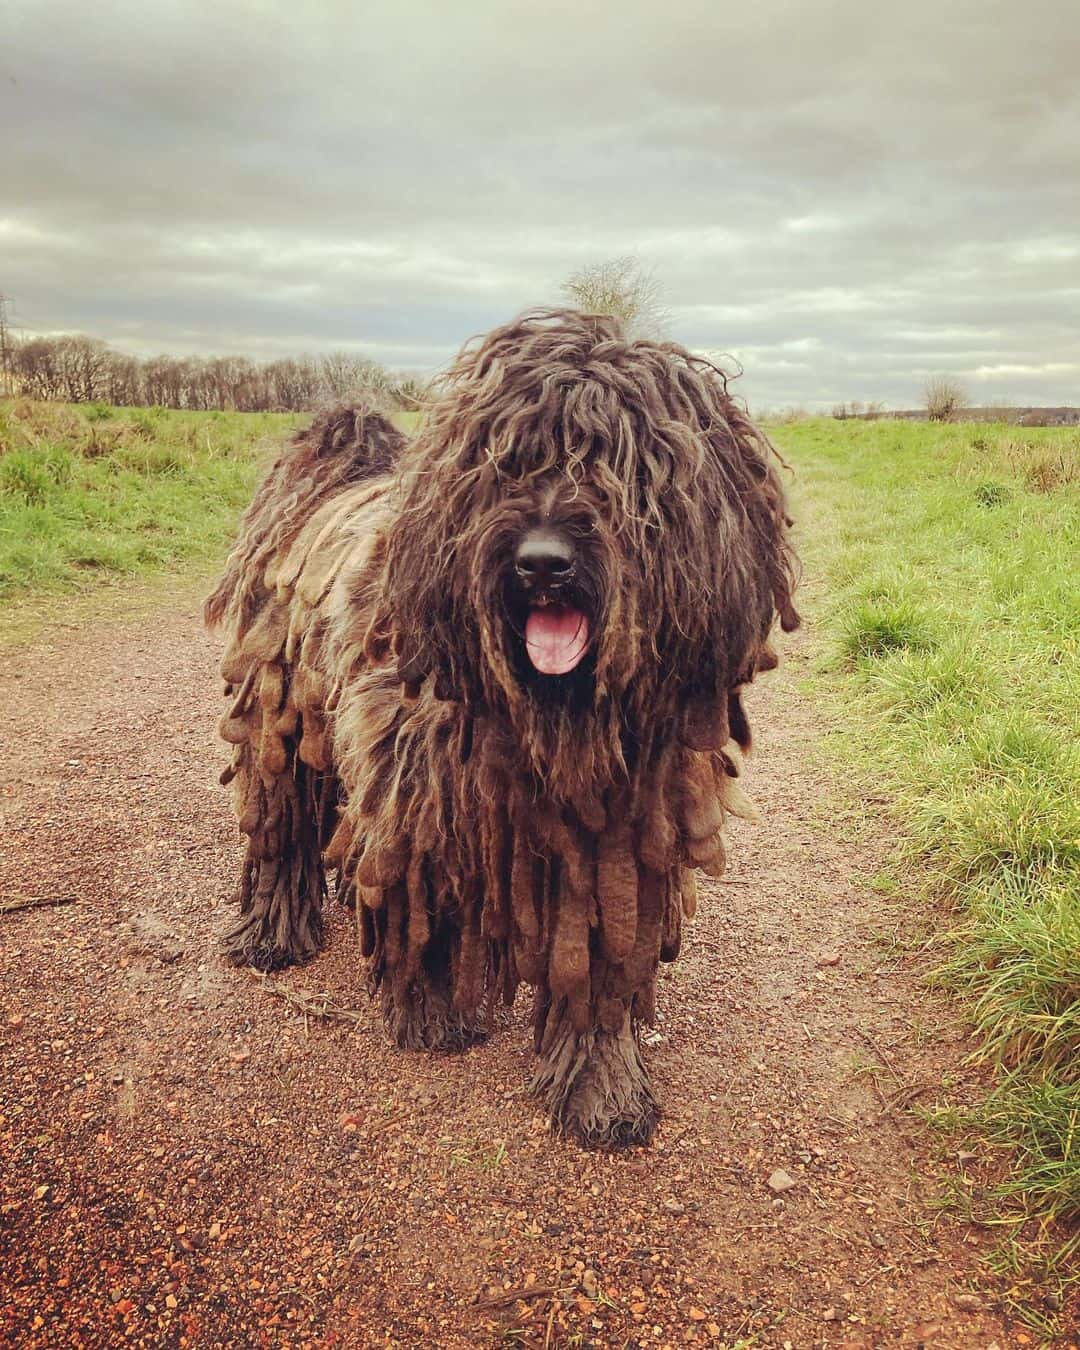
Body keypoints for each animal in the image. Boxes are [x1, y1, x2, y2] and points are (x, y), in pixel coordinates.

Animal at [206, 310, 799, 1144]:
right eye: (505, 464)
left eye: (622, 465)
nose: (542, 562)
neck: (552, 715)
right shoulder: (416, 793)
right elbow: (421, 911)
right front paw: (432, 1016)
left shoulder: (618, 843)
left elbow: (599, 966)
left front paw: (601, 1089)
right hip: (278, 717)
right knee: (280, 828)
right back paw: (270, 933)